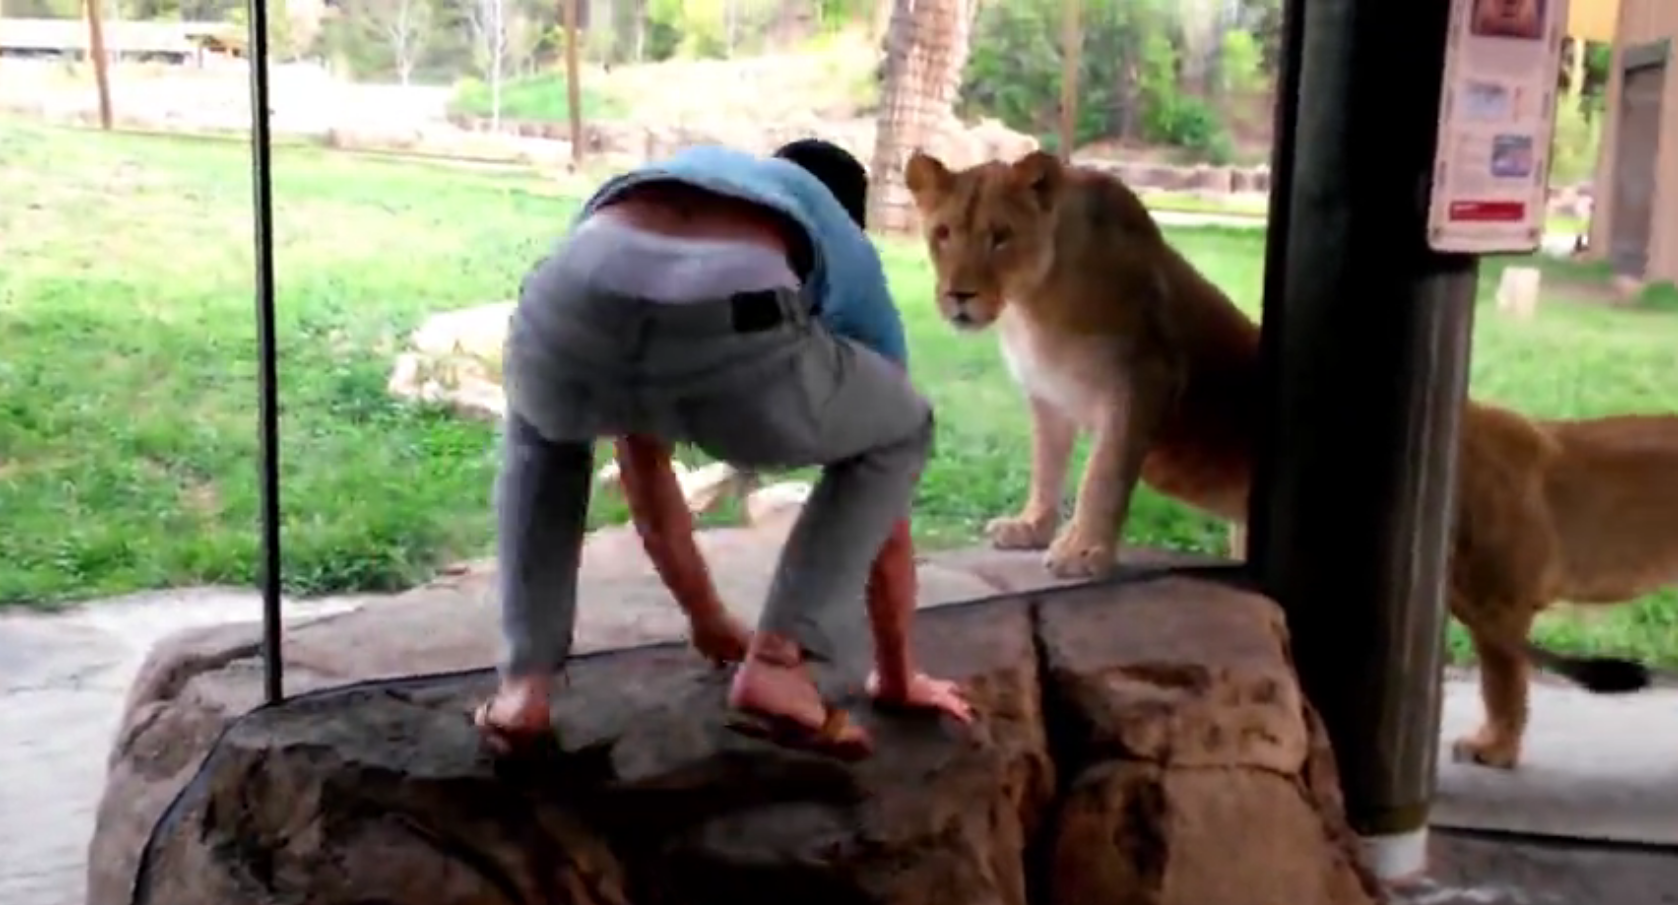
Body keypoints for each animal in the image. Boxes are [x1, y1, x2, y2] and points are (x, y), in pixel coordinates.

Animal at [912, 148, 1671, 772]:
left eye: (1001, 236)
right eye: (943, 233)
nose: (959, 295)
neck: (1033, 303)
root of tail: (1506, 430)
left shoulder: (1144, 380)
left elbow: (1103, 478)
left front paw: (1083, 552)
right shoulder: (1048, 398)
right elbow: (1047, 467)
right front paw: (1031, 526)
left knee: (1503, 667)